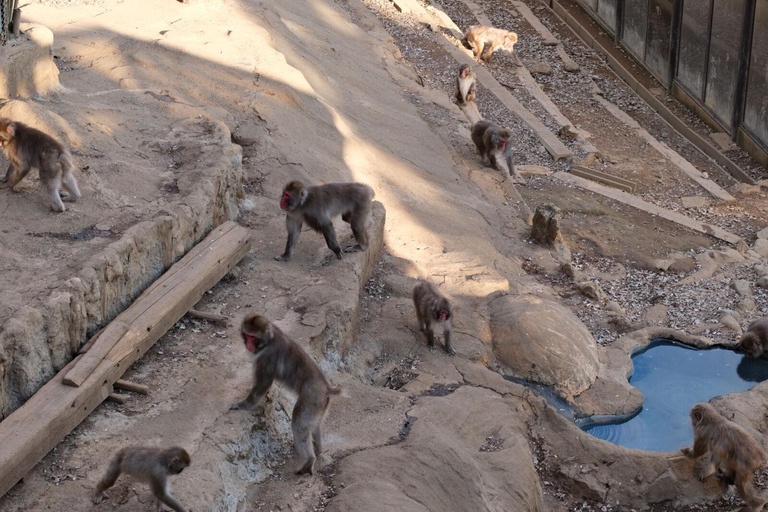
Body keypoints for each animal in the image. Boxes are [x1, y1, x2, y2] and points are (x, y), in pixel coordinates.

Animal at [231, 316, 344, 476]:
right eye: (247, 335)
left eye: (253, 337)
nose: (248, 344)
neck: (269, 339)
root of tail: (326, 387)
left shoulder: (267, 357)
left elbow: (263, 384)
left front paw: (243, 405)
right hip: (321, 405)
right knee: (314, 425)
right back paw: (318, 449)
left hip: (311, 400)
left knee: (298, 423)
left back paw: (309, 460)